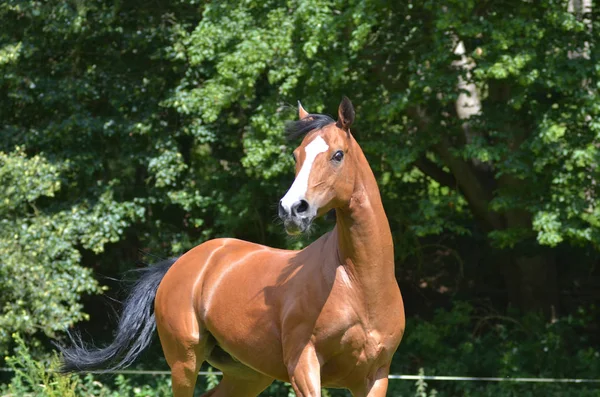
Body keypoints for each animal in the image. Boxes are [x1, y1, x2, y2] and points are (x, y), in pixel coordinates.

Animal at [58, 96, 406, 396]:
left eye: (337, 155)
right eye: (297, 155)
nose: (292, 209)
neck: (358, 283)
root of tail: (182, 264)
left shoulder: (375, 376)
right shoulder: (304, 366)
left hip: (247, 374)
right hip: (185, 363)